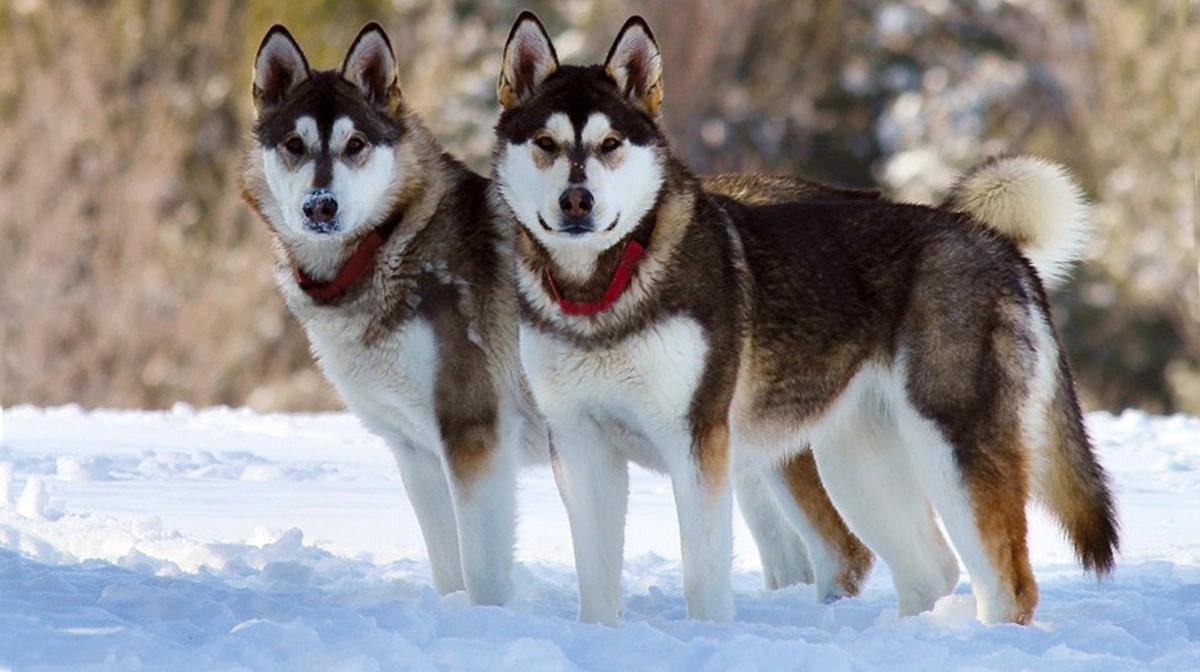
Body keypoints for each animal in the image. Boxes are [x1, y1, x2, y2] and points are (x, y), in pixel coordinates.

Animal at [240, 23, 549, 607]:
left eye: (355, 145)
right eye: (294, 145)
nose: (320, 205)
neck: (386, 245)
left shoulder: (475, 433)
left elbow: (482, 574)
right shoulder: (415, 450)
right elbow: (449, 568)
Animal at [492, 13, 1118, 628]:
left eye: (610, 144)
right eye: (545, 142)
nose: (577, 201)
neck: (602, 291)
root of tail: (993, 241)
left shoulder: (696, 442)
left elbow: (703, 576)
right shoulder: (580, 444)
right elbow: (595, 582)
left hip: (950, 447)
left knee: (1008, 587)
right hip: (856, 462)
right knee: (929, 568)